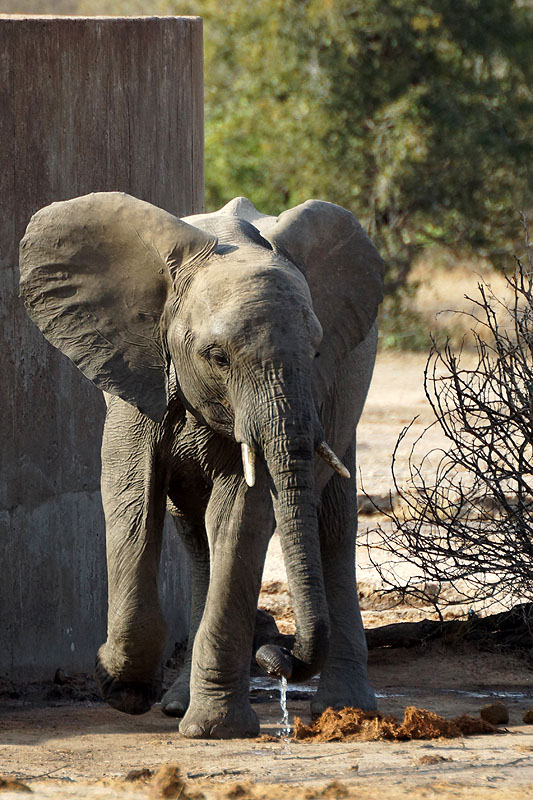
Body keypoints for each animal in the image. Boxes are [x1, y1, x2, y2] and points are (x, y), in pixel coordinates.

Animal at [19, 191, 382, 740]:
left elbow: (241, 512)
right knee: (194, 537)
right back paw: (174, 704)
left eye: (317, 350)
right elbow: (131, 497)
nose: (275, 652)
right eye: (217, 356)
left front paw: (212, 731)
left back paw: (349, 711)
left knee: (331, 525)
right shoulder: (139, 369)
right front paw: (123, 688)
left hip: (345, 404)